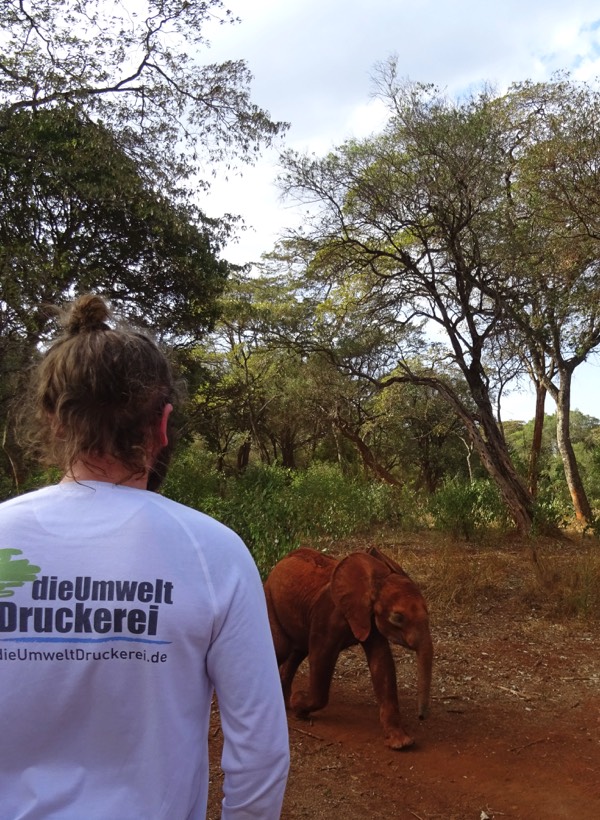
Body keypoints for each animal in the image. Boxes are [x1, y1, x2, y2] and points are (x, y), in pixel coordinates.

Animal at [262, 544, 432, 748]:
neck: (372, 582)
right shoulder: (328, 614)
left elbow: (381, 662)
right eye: (398, 618)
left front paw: (401, 743)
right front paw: (299, 704)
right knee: (281, 648)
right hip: (269, 597)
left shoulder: (368, 616)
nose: (421, 717)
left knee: (297, 651)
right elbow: (321, 658)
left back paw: (285, 703)